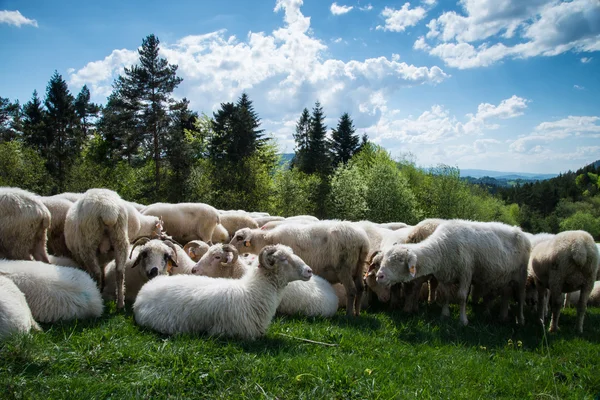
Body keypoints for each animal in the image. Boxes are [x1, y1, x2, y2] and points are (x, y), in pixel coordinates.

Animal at [231, 220, 368, 318]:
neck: (267, 239)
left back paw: (349, 315)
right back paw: (357, 313)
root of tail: (363, 241)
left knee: (352, 290)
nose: (229, 247)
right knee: (361, 288)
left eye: (239, 237)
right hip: (359, 267)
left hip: (344, 267)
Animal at [376, 220, 528, 326]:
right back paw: (499, 316)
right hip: (505, 278)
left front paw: (463, 320)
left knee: (521, 298)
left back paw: (520, 320)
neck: (442, 247)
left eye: (400, 260)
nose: (379, 276)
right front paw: (445, 315)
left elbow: (461, 297)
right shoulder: (445, 275)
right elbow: (445, 295)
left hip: (521, 276)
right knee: (505, 294)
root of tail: (519, 230)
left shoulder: (466, 273)